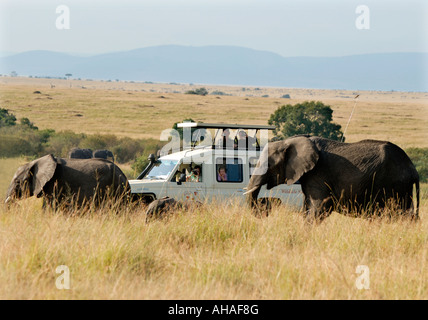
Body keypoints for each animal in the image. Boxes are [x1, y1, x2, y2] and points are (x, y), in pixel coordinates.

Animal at [246, 136, 420, 222]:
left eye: (269, 164)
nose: (263, 211)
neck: (290, 141)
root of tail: (413, 168)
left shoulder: (319, 172)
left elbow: (319, 207)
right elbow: (308, 205)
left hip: (393, 184)